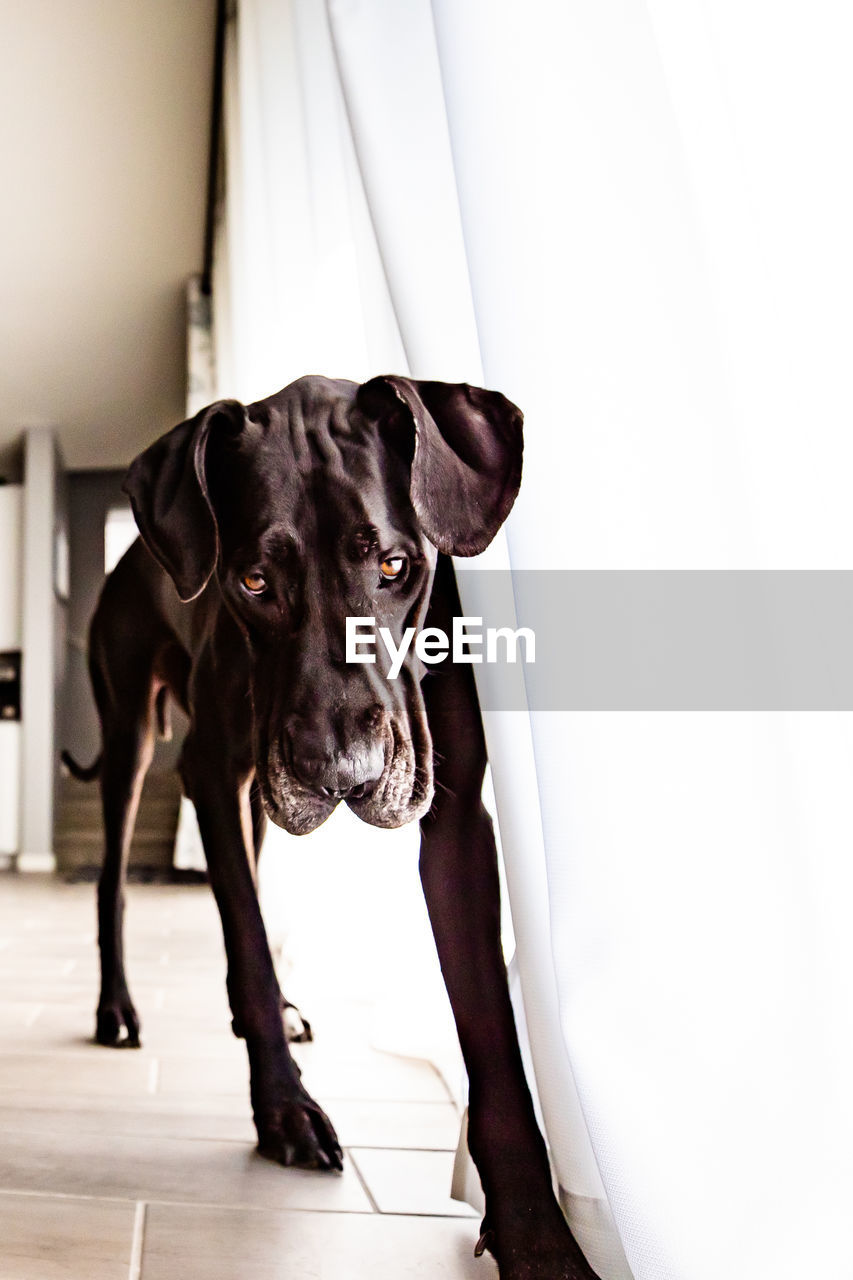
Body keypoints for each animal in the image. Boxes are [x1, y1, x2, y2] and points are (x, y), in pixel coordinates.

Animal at [64, 373, 596, 1274]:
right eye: (252, 581)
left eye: (394, 566)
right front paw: (284, 1110)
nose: (342, 773)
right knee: (114, 885)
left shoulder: (456, 815)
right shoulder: (209, 776)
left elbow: (490, 1026)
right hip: (134, 732)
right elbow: (247, 944)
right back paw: (120, 1009)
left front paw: (534, 1229)